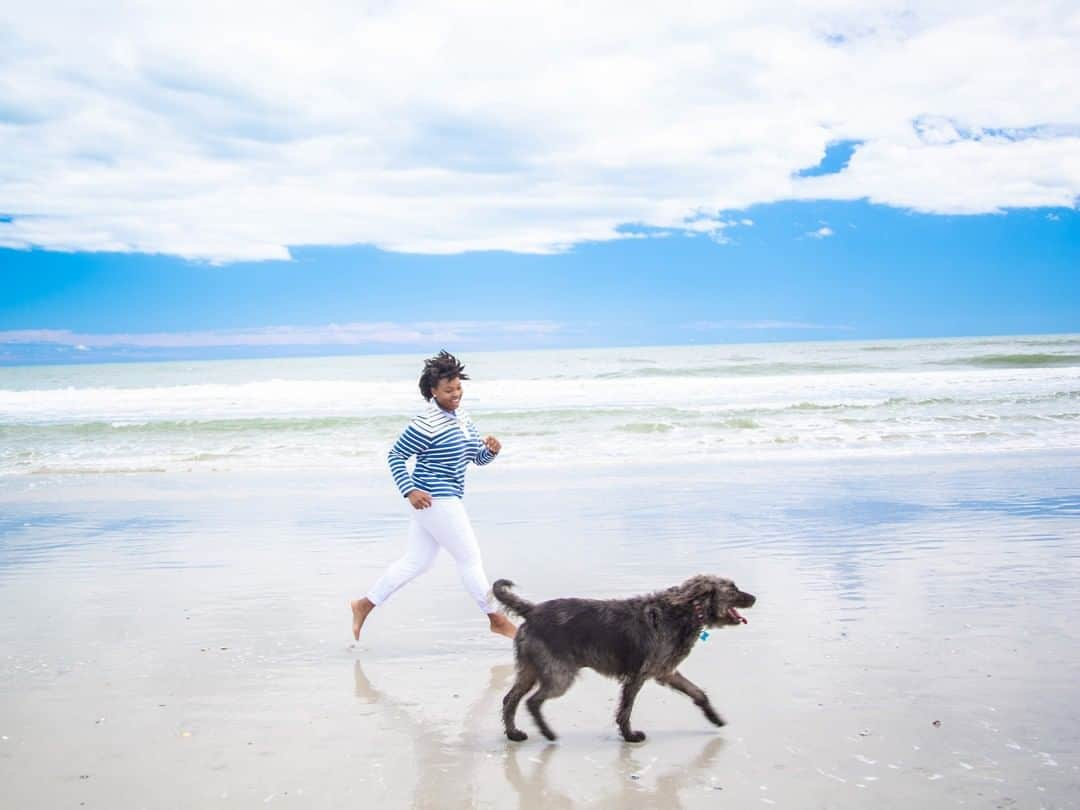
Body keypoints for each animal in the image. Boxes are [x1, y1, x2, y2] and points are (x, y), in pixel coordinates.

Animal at [494, 578, 756, 743]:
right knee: (532, 702)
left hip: (530, 670)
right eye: (733, 588)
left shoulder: (666, 672)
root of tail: (533, 611)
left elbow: (698, 693)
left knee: (510, 699)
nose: (754, 598)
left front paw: (714, 718)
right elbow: (626, 711)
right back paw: (547, 733)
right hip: (559, 676)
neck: (683, 612)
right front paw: (630, 737)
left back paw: (514, 734)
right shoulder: (638, 676)